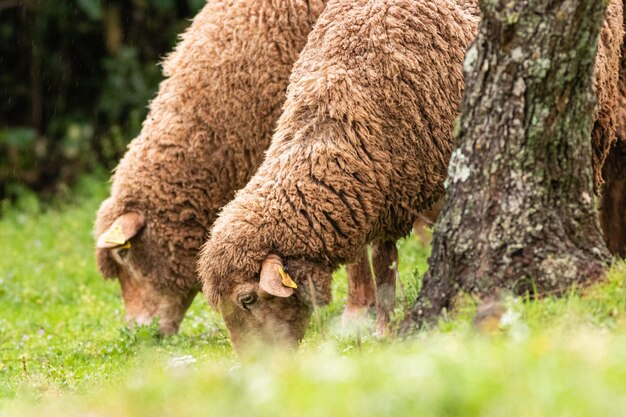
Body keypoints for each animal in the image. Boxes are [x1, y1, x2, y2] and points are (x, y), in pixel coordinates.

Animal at [195, 0, 620, 350]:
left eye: (247, 298)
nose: (253, 365)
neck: (334, 115)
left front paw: (384, 333)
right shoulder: (384, 193)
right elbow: (384, 264)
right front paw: (382, 328)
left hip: (598, 120)